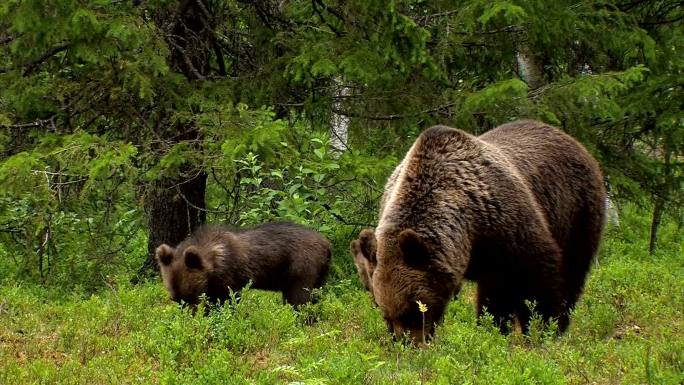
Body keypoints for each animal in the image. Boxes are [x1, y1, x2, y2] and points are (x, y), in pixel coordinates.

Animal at [352, 119, 604, 342]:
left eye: (414, 309)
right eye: (384, 313)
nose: (407, 342)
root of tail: (570, 139)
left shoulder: (507, 227)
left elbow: (538, 280)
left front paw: (541, 330)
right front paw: (492, 330)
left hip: (576, 210)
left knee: (573, 271)